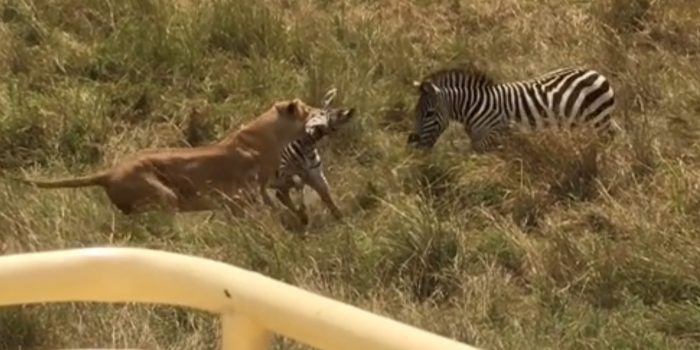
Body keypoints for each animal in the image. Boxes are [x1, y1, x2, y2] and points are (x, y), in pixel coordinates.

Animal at [268, 87, 356, 224]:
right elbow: (297, 187)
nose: (351, 111)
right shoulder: (286, 174)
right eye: (324, 113)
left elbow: (325, 195)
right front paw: (303, 212)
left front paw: (340, 217)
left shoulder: (314, 174)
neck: (307, 148)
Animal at [404, 66, 616, 152]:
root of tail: (597, 73)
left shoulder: (493, 135)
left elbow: (472, 153)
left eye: (429, 113)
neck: (476, 107)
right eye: (415, 113)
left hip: (598, 123)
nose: (414, 144)